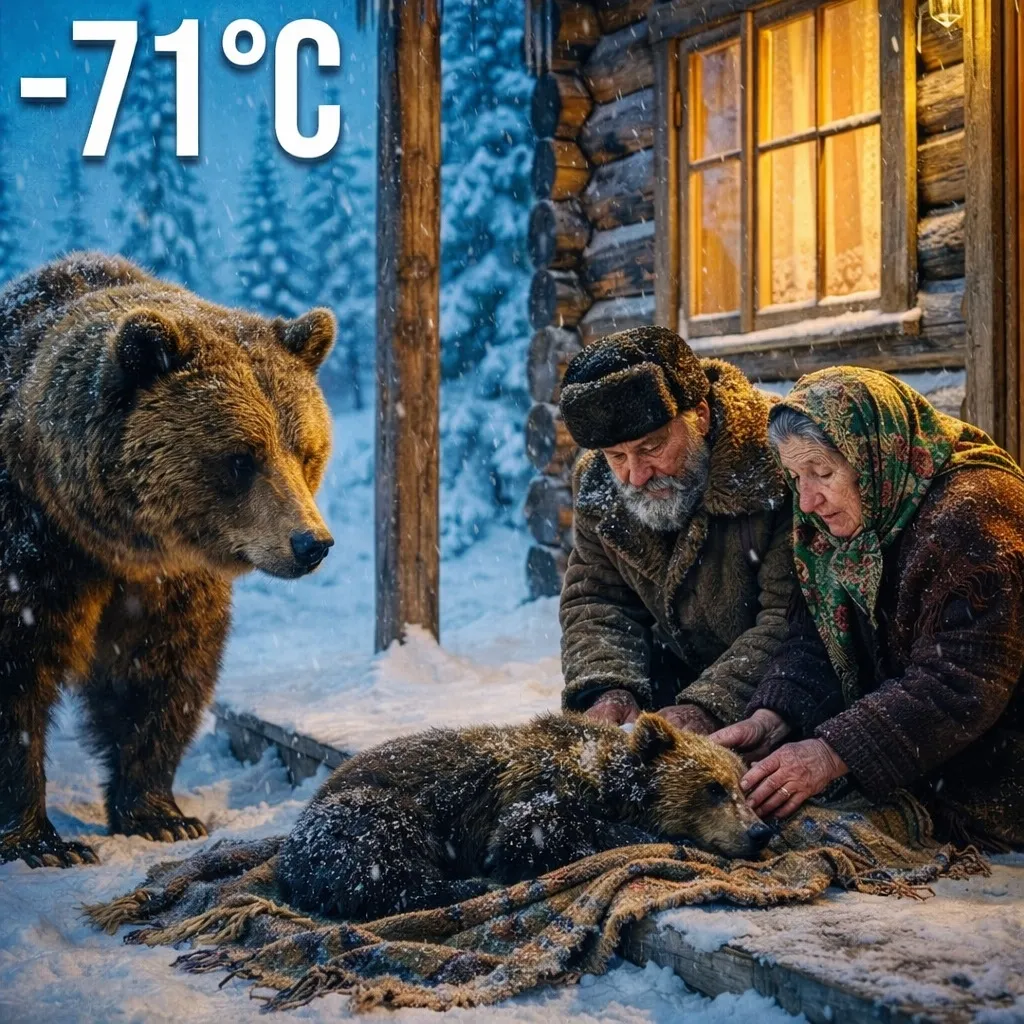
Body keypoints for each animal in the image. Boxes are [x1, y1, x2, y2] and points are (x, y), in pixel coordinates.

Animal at [0, 253, 336, 869]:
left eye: (305, 450)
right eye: (241, 457)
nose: (310, 543)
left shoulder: (168, 581)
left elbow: (163, 670)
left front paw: (161, 815)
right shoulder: (31, 550)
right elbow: (17, 675)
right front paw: (42, 843)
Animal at [279, 712, 772, 922]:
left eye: (743, 785)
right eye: (713, 787)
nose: (759, 831)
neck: (605, 781)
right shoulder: (536, 795)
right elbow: (534, 836)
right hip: (372, 807)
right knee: (383, 862)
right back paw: (468, 885)